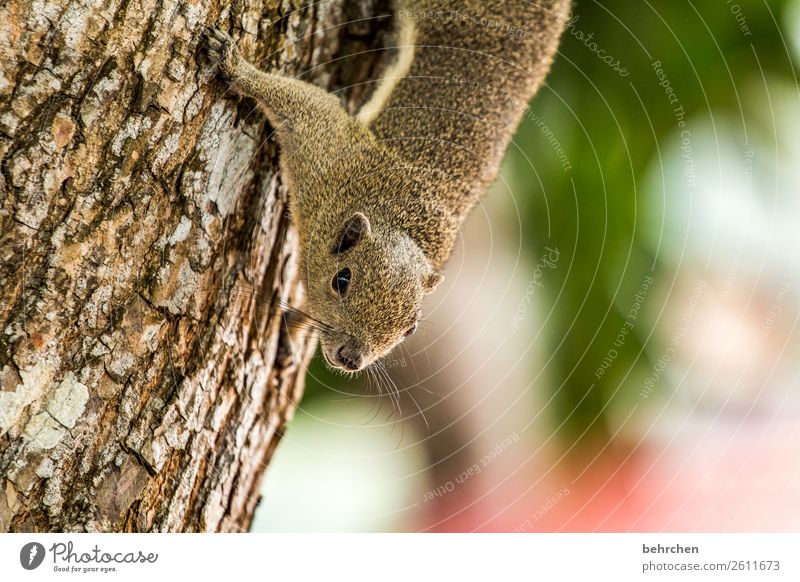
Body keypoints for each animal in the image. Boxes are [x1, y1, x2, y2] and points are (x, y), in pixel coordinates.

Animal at [205, 0, 568, 374]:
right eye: (341, 280)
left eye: (410, 329)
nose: (351, 359)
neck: (399, 221)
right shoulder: (330, 154)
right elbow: (303, 104)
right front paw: (234, 65)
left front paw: (291, 333)